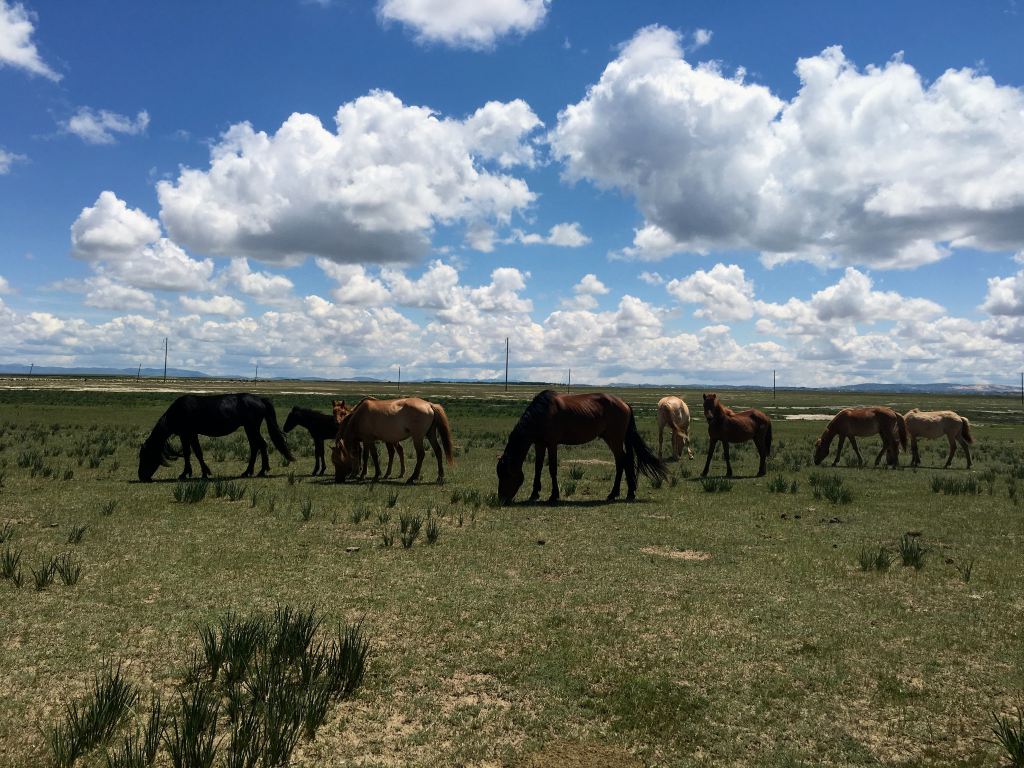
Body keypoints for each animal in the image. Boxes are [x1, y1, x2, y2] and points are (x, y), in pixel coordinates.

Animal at [138, 397, 294, 481]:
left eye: (144, 456)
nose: (141, 476)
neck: (178, 411)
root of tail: (260, 399)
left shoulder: (189, 433)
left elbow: (196, 452)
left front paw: (201, 473)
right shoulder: (186, 434)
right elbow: (189, 453)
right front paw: (189, 473)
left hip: (251, 427)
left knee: (261, 445)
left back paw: (260, 471)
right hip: (249, 428)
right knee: (256, 446)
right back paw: (248, 472)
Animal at [493, 391, 667, 505]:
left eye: (506, 474)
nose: (502, 499)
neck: (542, 414)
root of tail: (624, 404)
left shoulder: (552, 443)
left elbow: (552, 468)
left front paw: (554, 496)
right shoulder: (539, 444)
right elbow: (538, 467)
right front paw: (534, 494)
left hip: (614, 439)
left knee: (621, 461)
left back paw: (616, 494)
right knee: (624, 461)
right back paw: (625, 493)